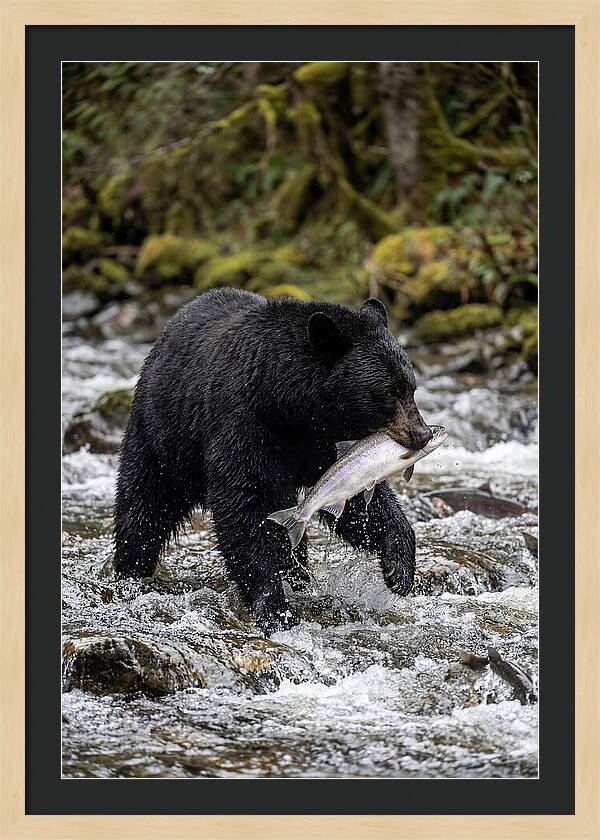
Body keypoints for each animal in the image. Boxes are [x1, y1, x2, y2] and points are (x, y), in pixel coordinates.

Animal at [114, 288, 432, 633]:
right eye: (388, 392)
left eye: (411, 387)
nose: (422, 433)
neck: (289, 405)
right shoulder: (245, 423)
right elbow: (244, 506)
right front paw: (275, 606)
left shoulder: (326, 442)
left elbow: (356, 498)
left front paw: (399, 569)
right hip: (163, 435)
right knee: (144, 504)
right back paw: (130, 570)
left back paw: (299, 574)